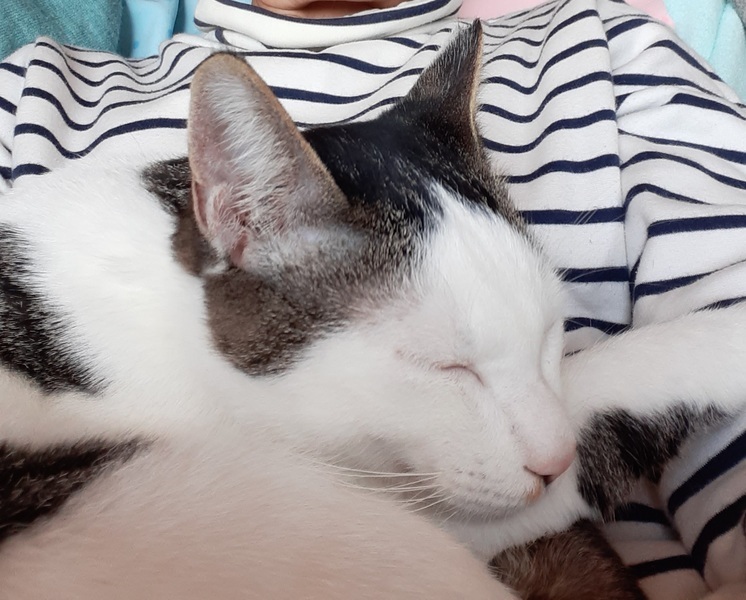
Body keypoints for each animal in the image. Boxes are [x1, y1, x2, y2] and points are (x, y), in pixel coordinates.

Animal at [0, 20, 744, 599]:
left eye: (549, 337)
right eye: (446, 368)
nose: (551, 460)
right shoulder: (413, 506)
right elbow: (600, 389)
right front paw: (720, 341)